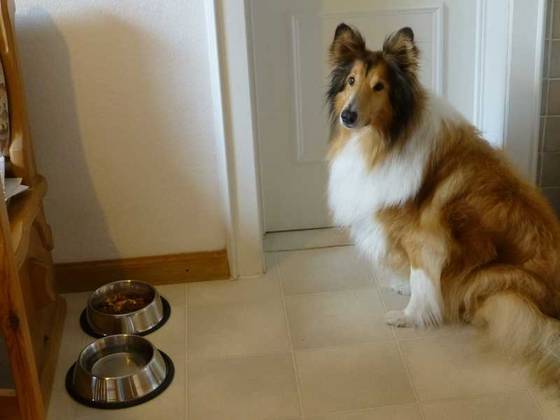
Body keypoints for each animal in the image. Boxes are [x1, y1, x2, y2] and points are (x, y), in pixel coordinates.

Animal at [326, 24, 560, 389]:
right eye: (351, 80)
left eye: (379, 86)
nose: (347, 116)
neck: (384, 140)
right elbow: (417, 276)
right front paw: (403, 286)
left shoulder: (426, 238)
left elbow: (423, 277)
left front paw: (409, 316)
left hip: (496, 281)